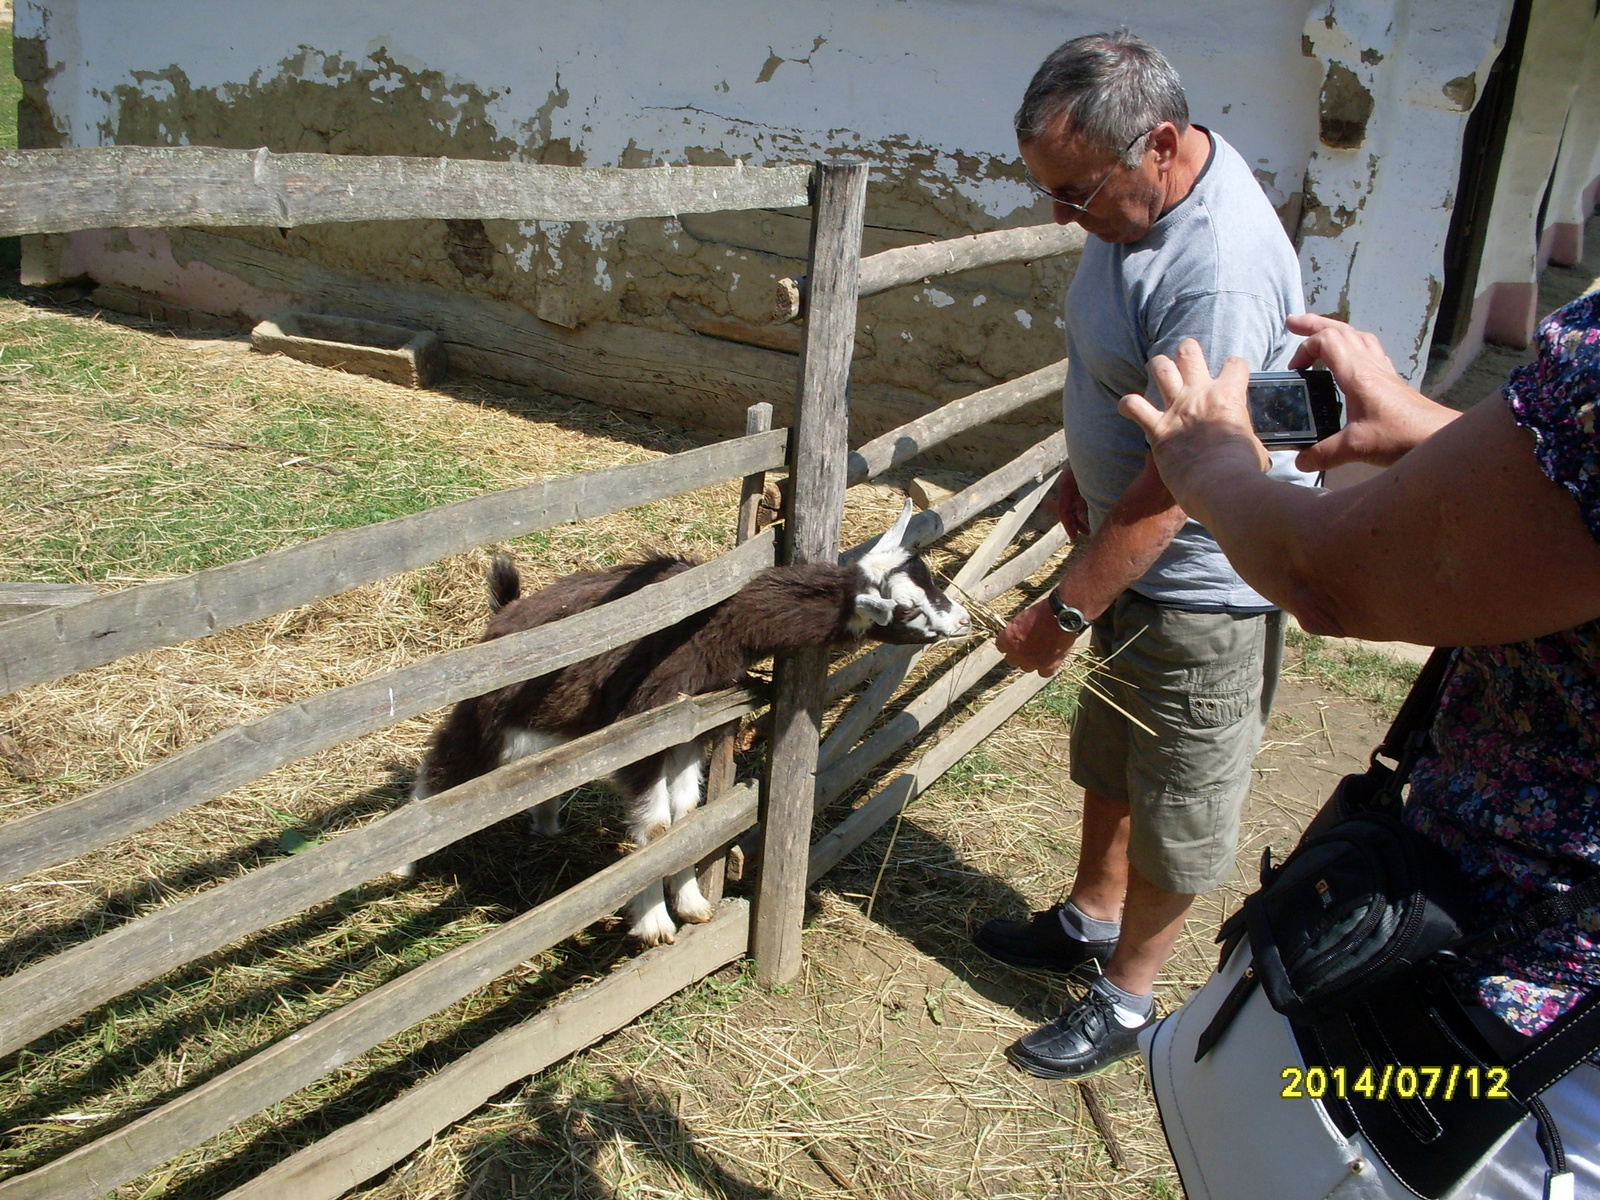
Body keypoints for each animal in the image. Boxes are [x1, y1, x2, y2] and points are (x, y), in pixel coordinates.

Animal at [406, 499, 966, 947]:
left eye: (931, 579)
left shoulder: (688, 729)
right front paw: (654, 924)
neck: (713, 624)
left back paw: (546, 824)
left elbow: (687, 815)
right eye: (908, 610)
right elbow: (655, 827)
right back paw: (403, 865)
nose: (962, 621)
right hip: (488, 716)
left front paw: (693, 902)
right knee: (442, 772)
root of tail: (503, 616)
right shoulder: (642, 729)